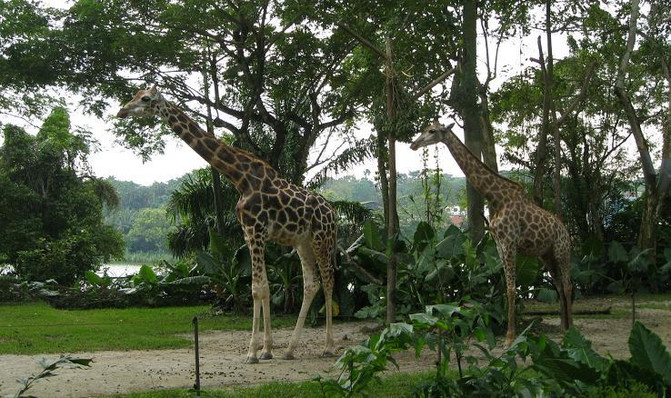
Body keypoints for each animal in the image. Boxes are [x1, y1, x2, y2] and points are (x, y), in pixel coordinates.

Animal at [117, 85, 336, 362]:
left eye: (145, 99)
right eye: (135, 94)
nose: (121, 111)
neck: (239, 177)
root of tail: (334, 213)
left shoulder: (256, 230)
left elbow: (257, 288)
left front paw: (252, 352)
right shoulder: (249, 233)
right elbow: (262, 287)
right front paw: (266, 350)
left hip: (321, 239)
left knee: (328, 281)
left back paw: (328, 347)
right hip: (302, 242)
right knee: (311, 284)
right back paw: (289, 350)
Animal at [412, 120, 576, 346]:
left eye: (432, 131)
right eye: (423, 129)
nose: (414, 144)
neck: (496, 198)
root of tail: (565, 230)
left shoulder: (509, 242)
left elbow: (511, 289)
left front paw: (510, 337)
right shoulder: (498, 244)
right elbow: (508, 288)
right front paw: (509, 335)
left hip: (561, 250)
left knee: (568, 285)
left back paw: (573, 331)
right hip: (546, 254)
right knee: (559, 285)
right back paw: (564, 329)